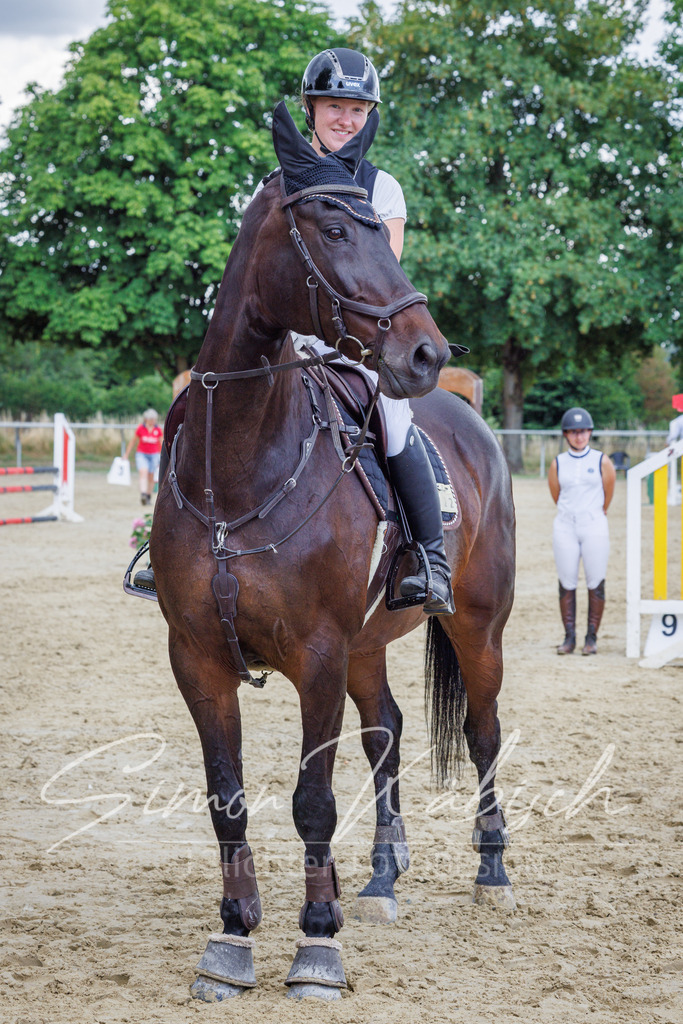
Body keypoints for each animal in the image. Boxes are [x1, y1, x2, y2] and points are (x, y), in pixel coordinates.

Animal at [150, 102, 516, 1002]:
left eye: (382, 231)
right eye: (334, 227)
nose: (426, 352)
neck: (239, 470)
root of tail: (472, 423)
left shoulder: (314, 653)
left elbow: (310, 799)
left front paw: (316, 943)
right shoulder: (197, 656)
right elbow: (227, 797)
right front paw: (232, 938)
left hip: (476, 627)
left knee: (484, 731)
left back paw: (490, 868)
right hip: (366, 644)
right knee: (385, 731)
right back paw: (382, 873)